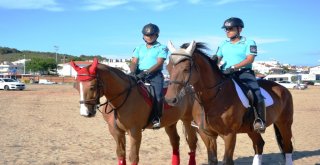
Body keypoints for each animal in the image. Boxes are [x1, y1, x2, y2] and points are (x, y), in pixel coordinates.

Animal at [71, 57, 199, 164]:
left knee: (192, 143)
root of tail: (190, 87)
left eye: (92, 87)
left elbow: (133, 157)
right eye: (76, 86)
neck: (121, 99)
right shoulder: (116, 131)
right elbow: (121, 155)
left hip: (187, 120)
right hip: (170, 123)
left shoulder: (134, 131)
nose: (85, 112)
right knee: (175, 142)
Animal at [165, 40, 296, 165]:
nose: (170, 99)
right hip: (251, 129)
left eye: (186, 69)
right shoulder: (206, 134)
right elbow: (212, 160)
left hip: (284, 124)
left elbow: (227, 160)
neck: (211, 99)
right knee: (259, 144)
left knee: (288, 147)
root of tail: (282, 88)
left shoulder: (229, 135)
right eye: (168, 68)